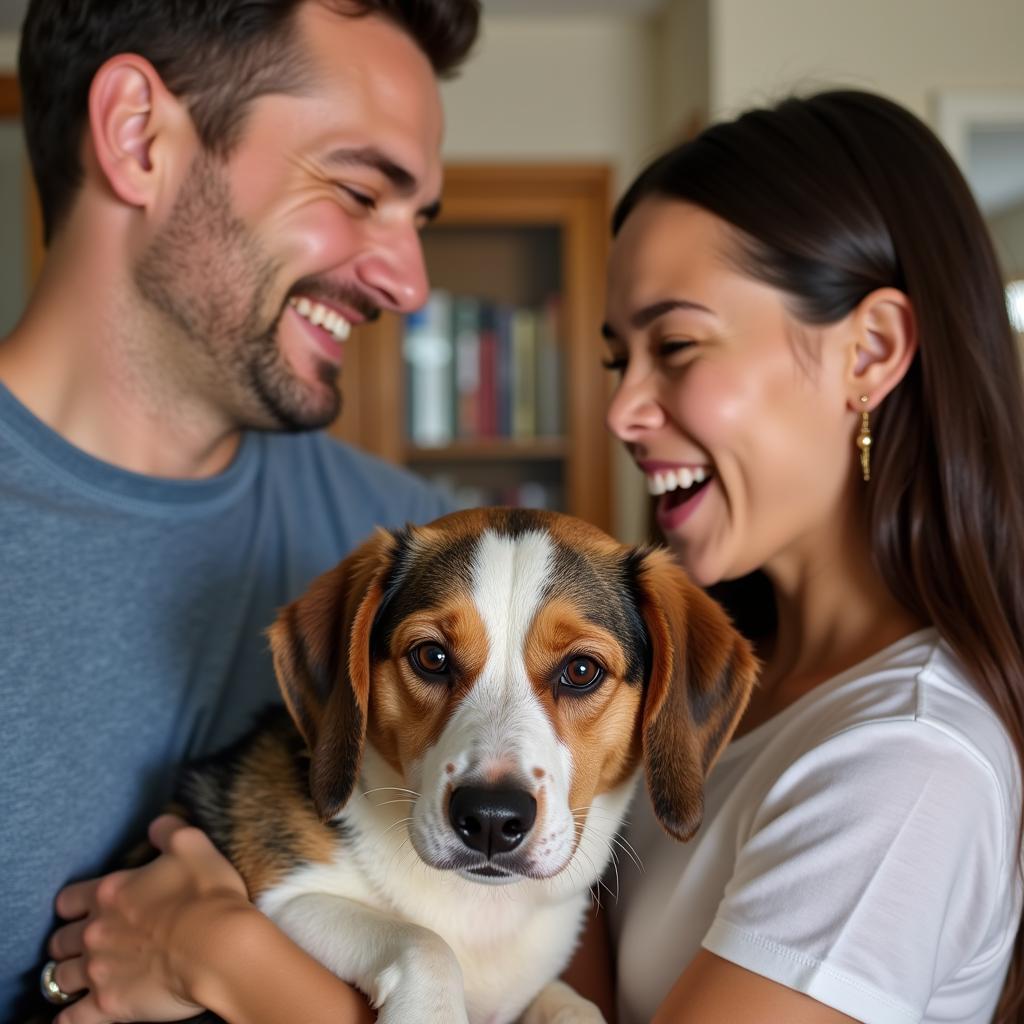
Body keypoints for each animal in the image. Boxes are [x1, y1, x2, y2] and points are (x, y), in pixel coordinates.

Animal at [36, 505, 757, 1024]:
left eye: (581, 671)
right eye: (431, 657)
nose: (490, 819)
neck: (480, 910)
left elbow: (573, 1005)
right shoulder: (283, 896)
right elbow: (422, 943)